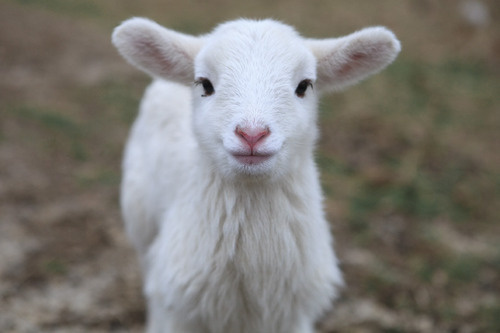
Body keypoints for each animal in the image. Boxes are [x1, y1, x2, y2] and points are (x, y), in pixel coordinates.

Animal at [111, 18, 400, 332]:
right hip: (141, 221)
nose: (252, 134)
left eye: (304, 86)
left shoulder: (293, 315)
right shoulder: (178, 307)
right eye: (205, 84)